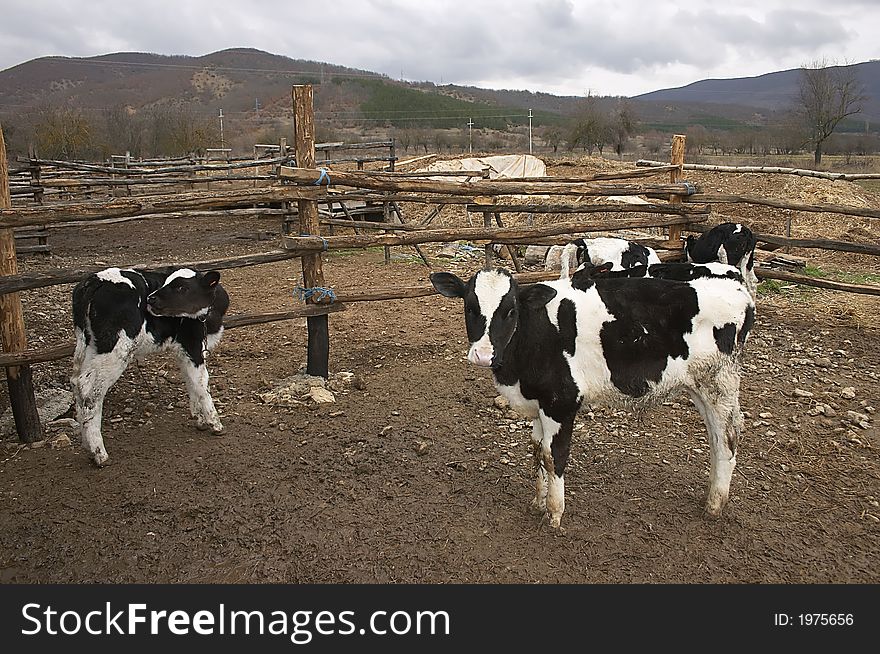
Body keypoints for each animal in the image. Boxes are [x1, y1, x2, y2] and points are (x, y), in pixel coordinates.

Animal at [71, 266, 229, 466]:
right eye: (167, 282)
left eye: (182, 288)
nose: (151, 298)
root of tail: (95, 280)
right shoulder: (193, 345)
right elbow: (201, 383)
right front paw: (215, 423)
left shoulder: (183, 349)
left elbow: (190, 381)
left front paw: (199, 419)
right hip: (117, 348)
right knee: (90, 391)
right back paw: (99, 453)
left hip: (89, 345)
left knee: (77, 382)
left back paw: (87, 446)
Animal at [430, 270, 752, 532]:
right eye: (469, 307)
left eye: (510, 311)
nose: (483, 355)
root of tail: (738, 290)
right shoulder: (540, 404)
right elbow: (537, 451)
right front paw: (538, 502)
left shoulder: (561, 401)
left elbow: (554, 456)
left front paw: (554, 514)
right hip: (700, 387)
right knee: (714, 439)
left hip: (719, 383)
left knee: (726, 439)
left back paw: (714, 505)